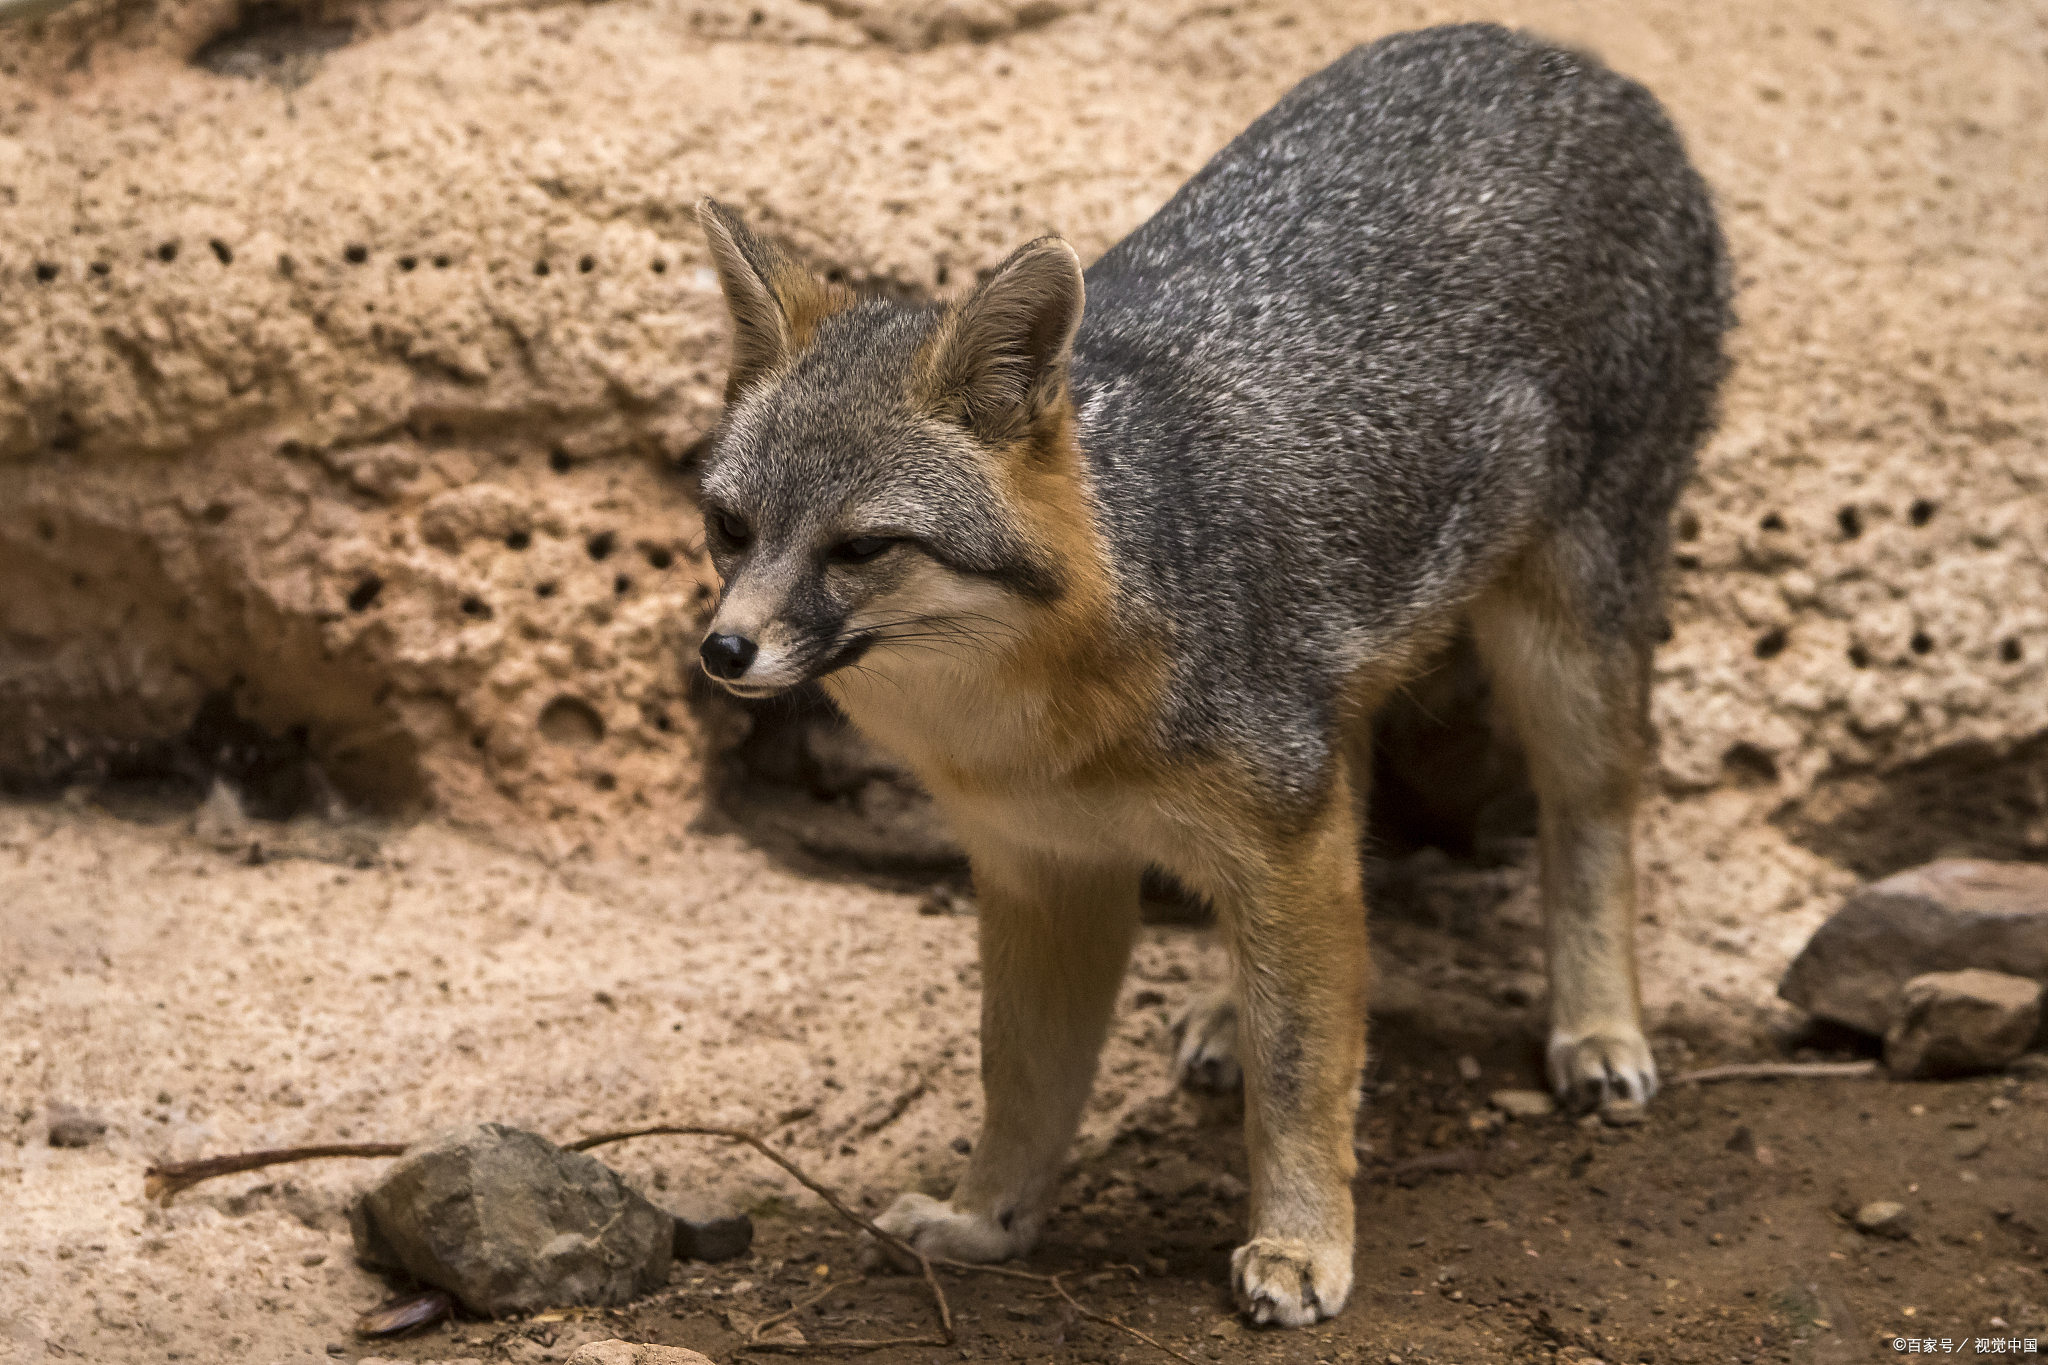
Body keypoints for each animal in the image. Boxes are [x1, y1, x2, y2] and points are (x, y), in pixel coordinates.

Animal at [688, 21, 1728, 1326]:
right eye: (729, 528)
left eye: (861, 549)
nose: (723, 650)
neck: (1030, 727)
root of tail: (1562, 52)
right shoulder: (1043, 870)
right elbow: (1021, 1075)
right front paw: (988, 1219)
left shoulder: (1269, 830)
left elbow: (1299, 1080)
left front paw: (1299, 1243)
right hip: (1340, 719)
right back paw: (1242, 1001)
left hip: (1564, 642)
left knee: (1588, 809)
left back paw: (1595, 1025)